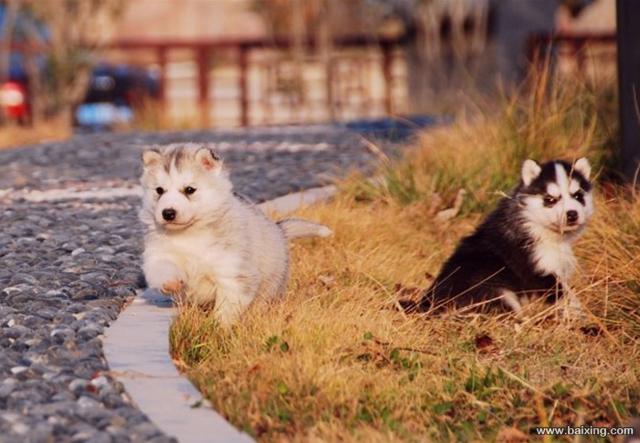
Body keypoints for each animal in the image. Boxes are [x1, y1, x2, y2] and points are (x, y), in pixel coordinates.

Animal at [139, 144, 330, 324]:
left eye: (189, 189)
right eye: (159, 190)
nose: (167, 213)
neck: (190, 234)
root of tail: (279, 230)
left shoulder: (233, 272)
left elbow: (227, 307)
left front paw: (217, 327)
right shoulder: (159, 254)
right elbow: (163, 266)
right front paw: (170, 282)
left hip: (270, 287)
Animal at [410, 158, 596, 314]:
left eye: (578, 196)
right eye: (550, 199)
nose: (572, 214)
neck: (533, 224)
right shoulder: (539, 271)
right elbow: (567, 297)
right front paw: (581, 314)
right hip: (496, 292)